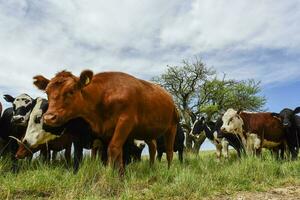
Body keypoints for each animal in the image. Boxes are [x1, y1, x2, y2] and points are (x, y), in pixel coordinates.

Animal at [28, 70, 178, 175]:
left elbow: (112, 149)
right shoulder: (108, 131)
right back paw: (152, 168)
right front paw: (120, 174)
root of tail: (169, 97)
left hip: (172, 127)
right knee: (153, 147)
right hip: (147, 131)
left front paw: (109, 174)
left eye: (71, 91)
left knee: (169, 151)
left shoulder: (125, 121)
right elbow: (116, 152)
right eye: (47, 92)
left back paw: (169, 170)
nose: (49, 117)